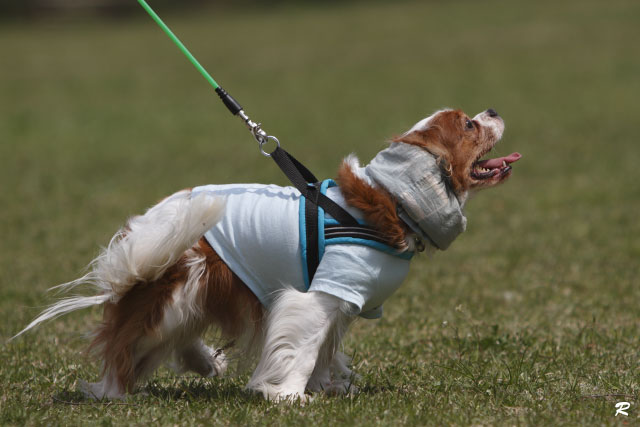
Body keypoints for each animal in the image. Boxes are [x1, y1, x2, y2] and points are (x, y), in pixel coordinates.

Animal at [15, 108, 520, 402]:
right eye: (470, 125)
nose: (493, 109)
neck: (391, 201)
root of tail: (138, 231)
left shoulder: (342, 302)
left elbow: (325, 350)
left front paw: (328, 385)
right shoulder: (321, 294)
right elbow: (304, 347)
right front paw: (289, 395)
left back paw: (205, 362)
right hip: (172, 291)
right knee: (122, 350)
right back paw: (116, 392)